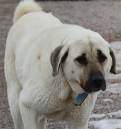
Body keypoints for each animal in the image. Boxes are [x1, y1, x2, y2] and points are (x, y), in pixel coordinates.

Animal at [4, 0, 116, 129]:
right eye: (80, 59)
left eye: (103, 57)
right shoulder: (27, 106)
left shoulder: (79, 122)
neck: (67, 85)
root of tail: (28, 13)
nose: (98, 80)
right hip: (15, 101)